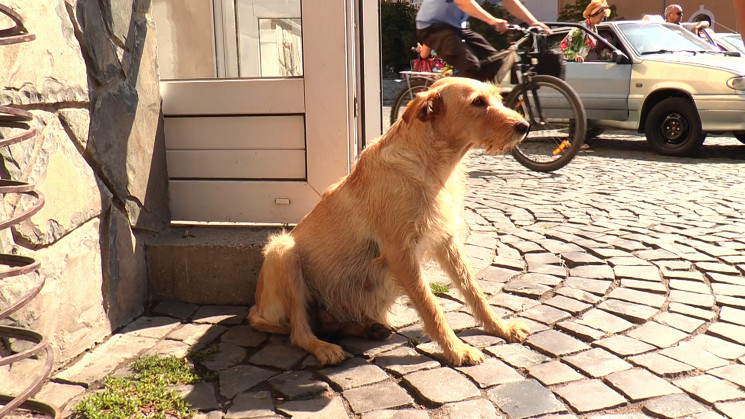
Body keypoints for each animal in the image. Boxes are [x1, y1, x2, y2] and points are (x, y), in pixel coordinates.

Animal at [248, 77, 528, 366]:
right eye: (478, 102)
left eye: (497, 98)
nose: (525, 126)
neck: (430, 164)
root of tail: (256, 309)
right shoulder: (400, 254)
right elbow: (430, 305)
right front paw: (456, 350)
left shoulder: (447, 242)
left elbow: (474, 290)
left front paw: (500, 327)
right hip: (283, 251)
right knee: (299, 332)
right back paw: (324, 347)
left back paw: (367, 328)